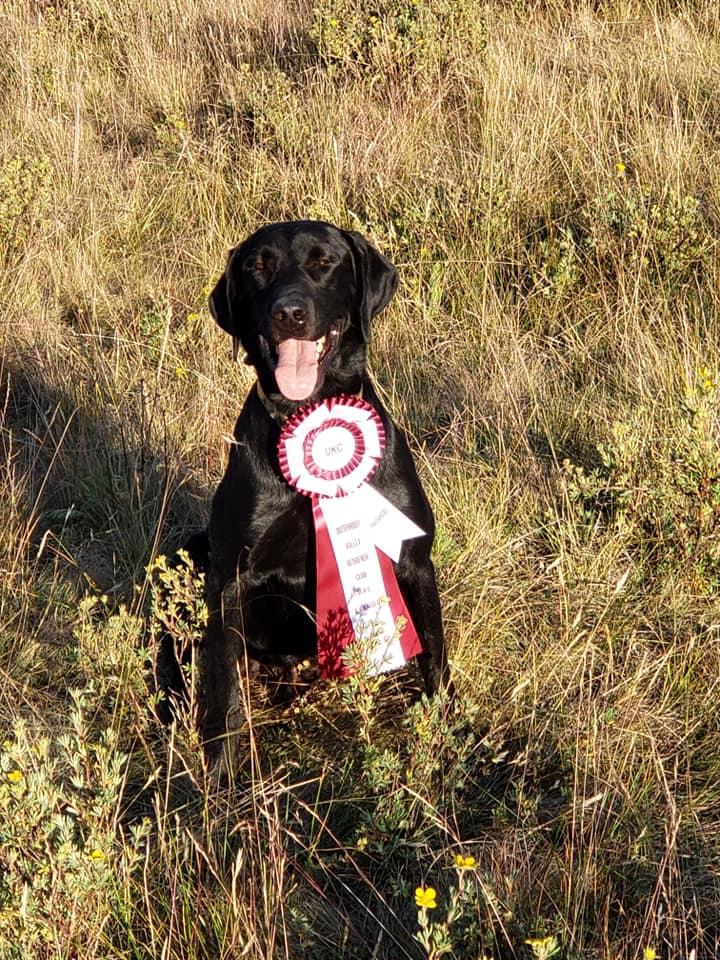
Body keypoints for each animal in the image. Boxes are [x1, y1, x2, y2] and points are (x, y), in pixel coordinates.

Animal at [158, 219, 450, 764]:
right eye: (258, 266)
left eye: (324, 262)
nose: (289, 313)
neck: (306, 412)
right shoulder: (230, 577)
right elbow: (224, 694)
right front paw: (222, 773)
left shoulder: (413, 557)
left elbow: (435, 658)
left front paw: (449, 734)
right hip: (191, 548)